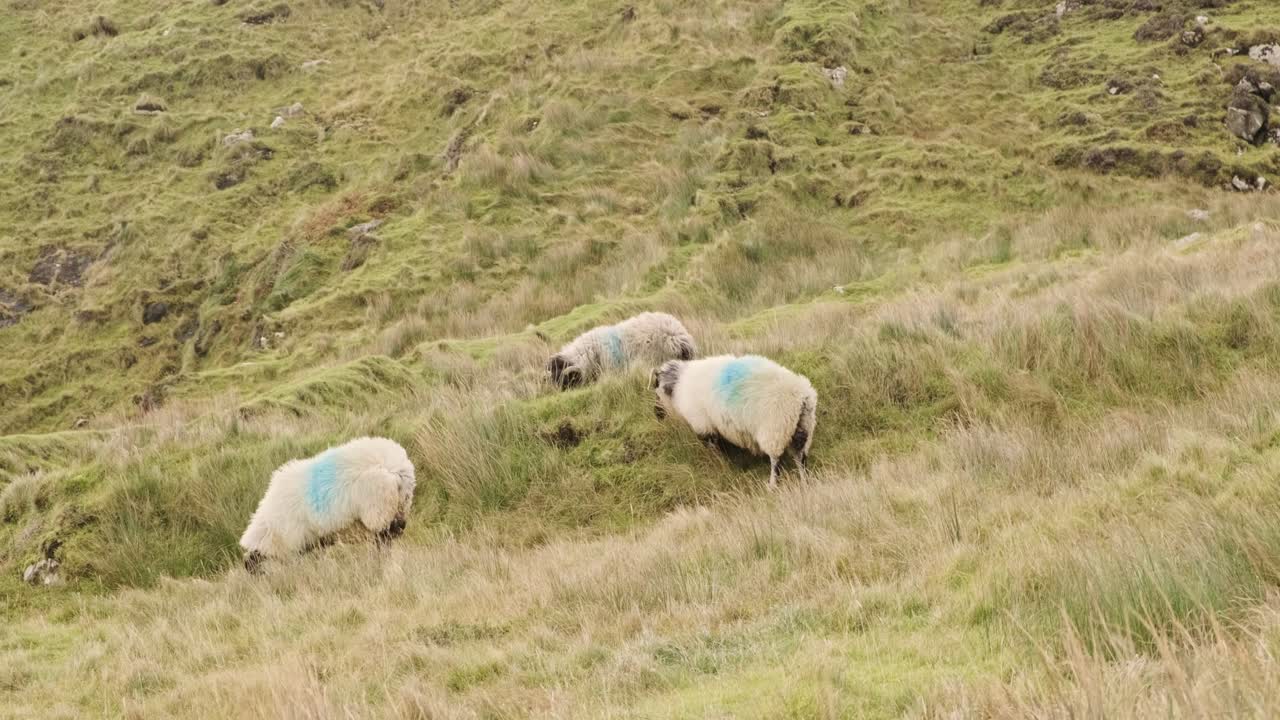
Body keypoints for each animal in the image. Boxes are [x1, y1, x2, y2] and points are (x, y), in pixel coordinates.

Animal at [239, 436, 416, 572]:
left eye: (256, 570)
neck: (272, 530)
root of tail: (397, 466)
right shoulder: (316, 540)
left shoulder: (298, 540)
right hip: (401, 508)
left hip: (379, 512)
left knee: (383, 540)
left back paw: (378, 563)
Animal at [652, 354, 816, 489]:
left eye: (657, 389)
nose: (657, 414)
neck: (679, 385)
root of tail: (801, 396)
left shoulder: (704, 426)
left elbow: (715, 449)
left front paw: (720, 464)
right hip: (803, 429)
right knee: (800, 458)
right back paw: (804, 482)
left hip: (774, 430)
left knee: (776, 461)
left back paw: (772, 485)